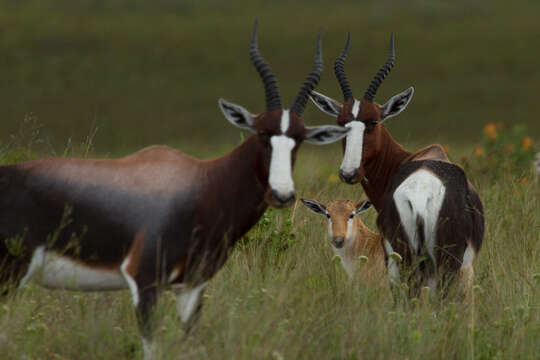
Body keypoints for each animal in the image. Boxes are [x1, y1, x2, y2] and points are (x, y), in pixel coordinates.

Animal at [0, 21, 350, 358]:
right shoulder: (144, 283)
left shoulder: (191, 288)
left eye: (300, 139)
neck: (204, 184)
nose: (282, 195)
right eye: (262, 133)